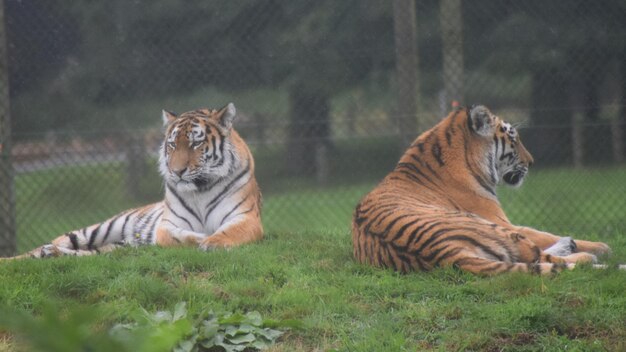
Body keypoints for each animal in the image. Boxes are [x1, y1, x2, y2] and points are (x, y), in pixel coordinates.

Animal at [3, 102, 260, 258]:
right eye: (172, 144)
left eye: (196, 143)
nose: (177, 171)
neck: (200, 189)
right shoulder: (168, 224)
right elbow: (177, 237)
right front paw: (200, 239)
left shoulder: (246, 218)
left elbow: (228, 232)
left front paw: (212, 241)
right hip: (96, 230)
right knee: (36, 251)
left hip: (109, 249)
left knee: (85, 254)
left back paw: (52, 254)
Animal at [352, 106, 616, 276]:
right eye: (514, 139)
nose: (531, 162)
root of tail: (447, 253)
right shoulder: (502, 221)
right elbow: (542, 233)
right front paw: (602, 246)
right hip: (492, 227)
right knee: (541, 257)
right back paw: (583, 252)